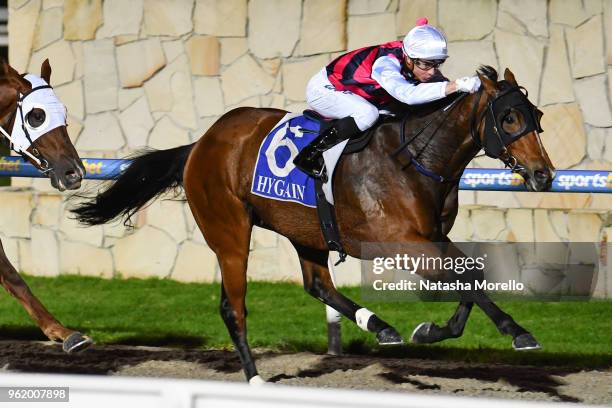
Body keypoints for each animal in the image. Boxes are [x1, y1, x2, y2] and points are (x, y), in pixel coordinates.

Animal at [73, 67, 556, 382]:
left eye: (536, 116)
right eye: (509, 117)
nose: (544, 176)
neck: (415, 160)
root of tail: (201, 144)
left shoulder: (432, 237)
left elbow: (471, 275)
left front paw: (434, 330)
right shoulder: (398, 241)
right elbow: (466, 278)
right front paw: (518, 332)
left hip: (307, 231)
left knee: (318, 284)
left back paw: (381, 326)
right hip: (229, 232)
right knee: (234, 306)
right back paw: (254, 377)